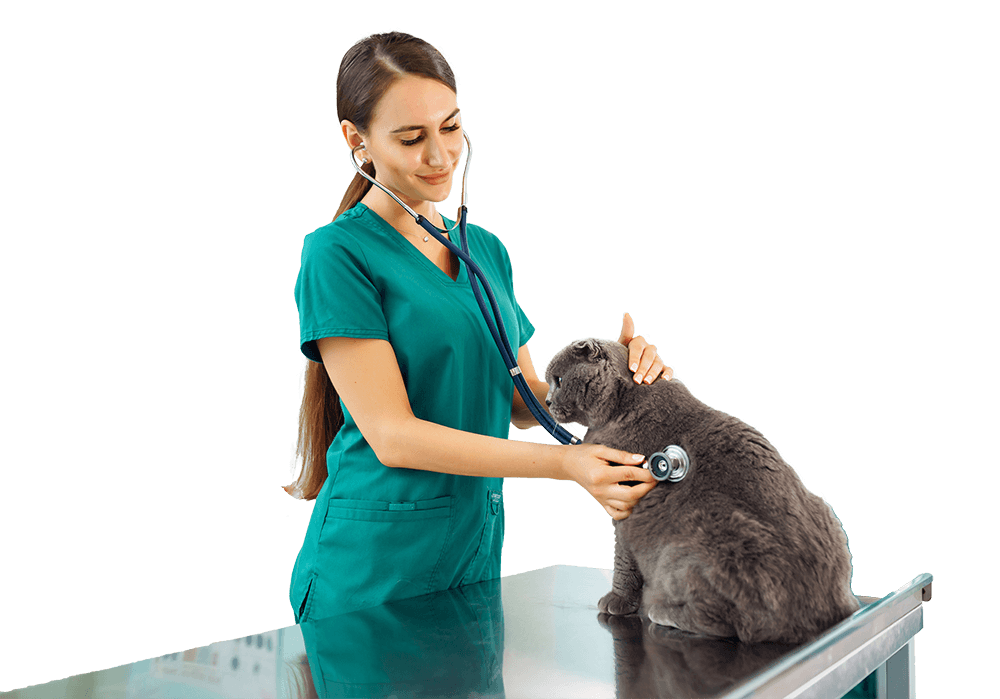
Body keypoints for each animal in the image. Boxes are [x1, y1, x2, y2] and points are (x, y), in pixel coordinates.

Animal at [544, 340, 856, 644]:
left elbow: (622, 560)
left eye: (558, 381)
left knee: (733, 624)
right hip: (827, 513)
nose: (546, 401)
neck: (621, 404)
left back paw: (661, 611)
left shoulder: (625, 503)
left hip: (695, 540)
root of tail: (821, 614)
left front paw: (617, 601)